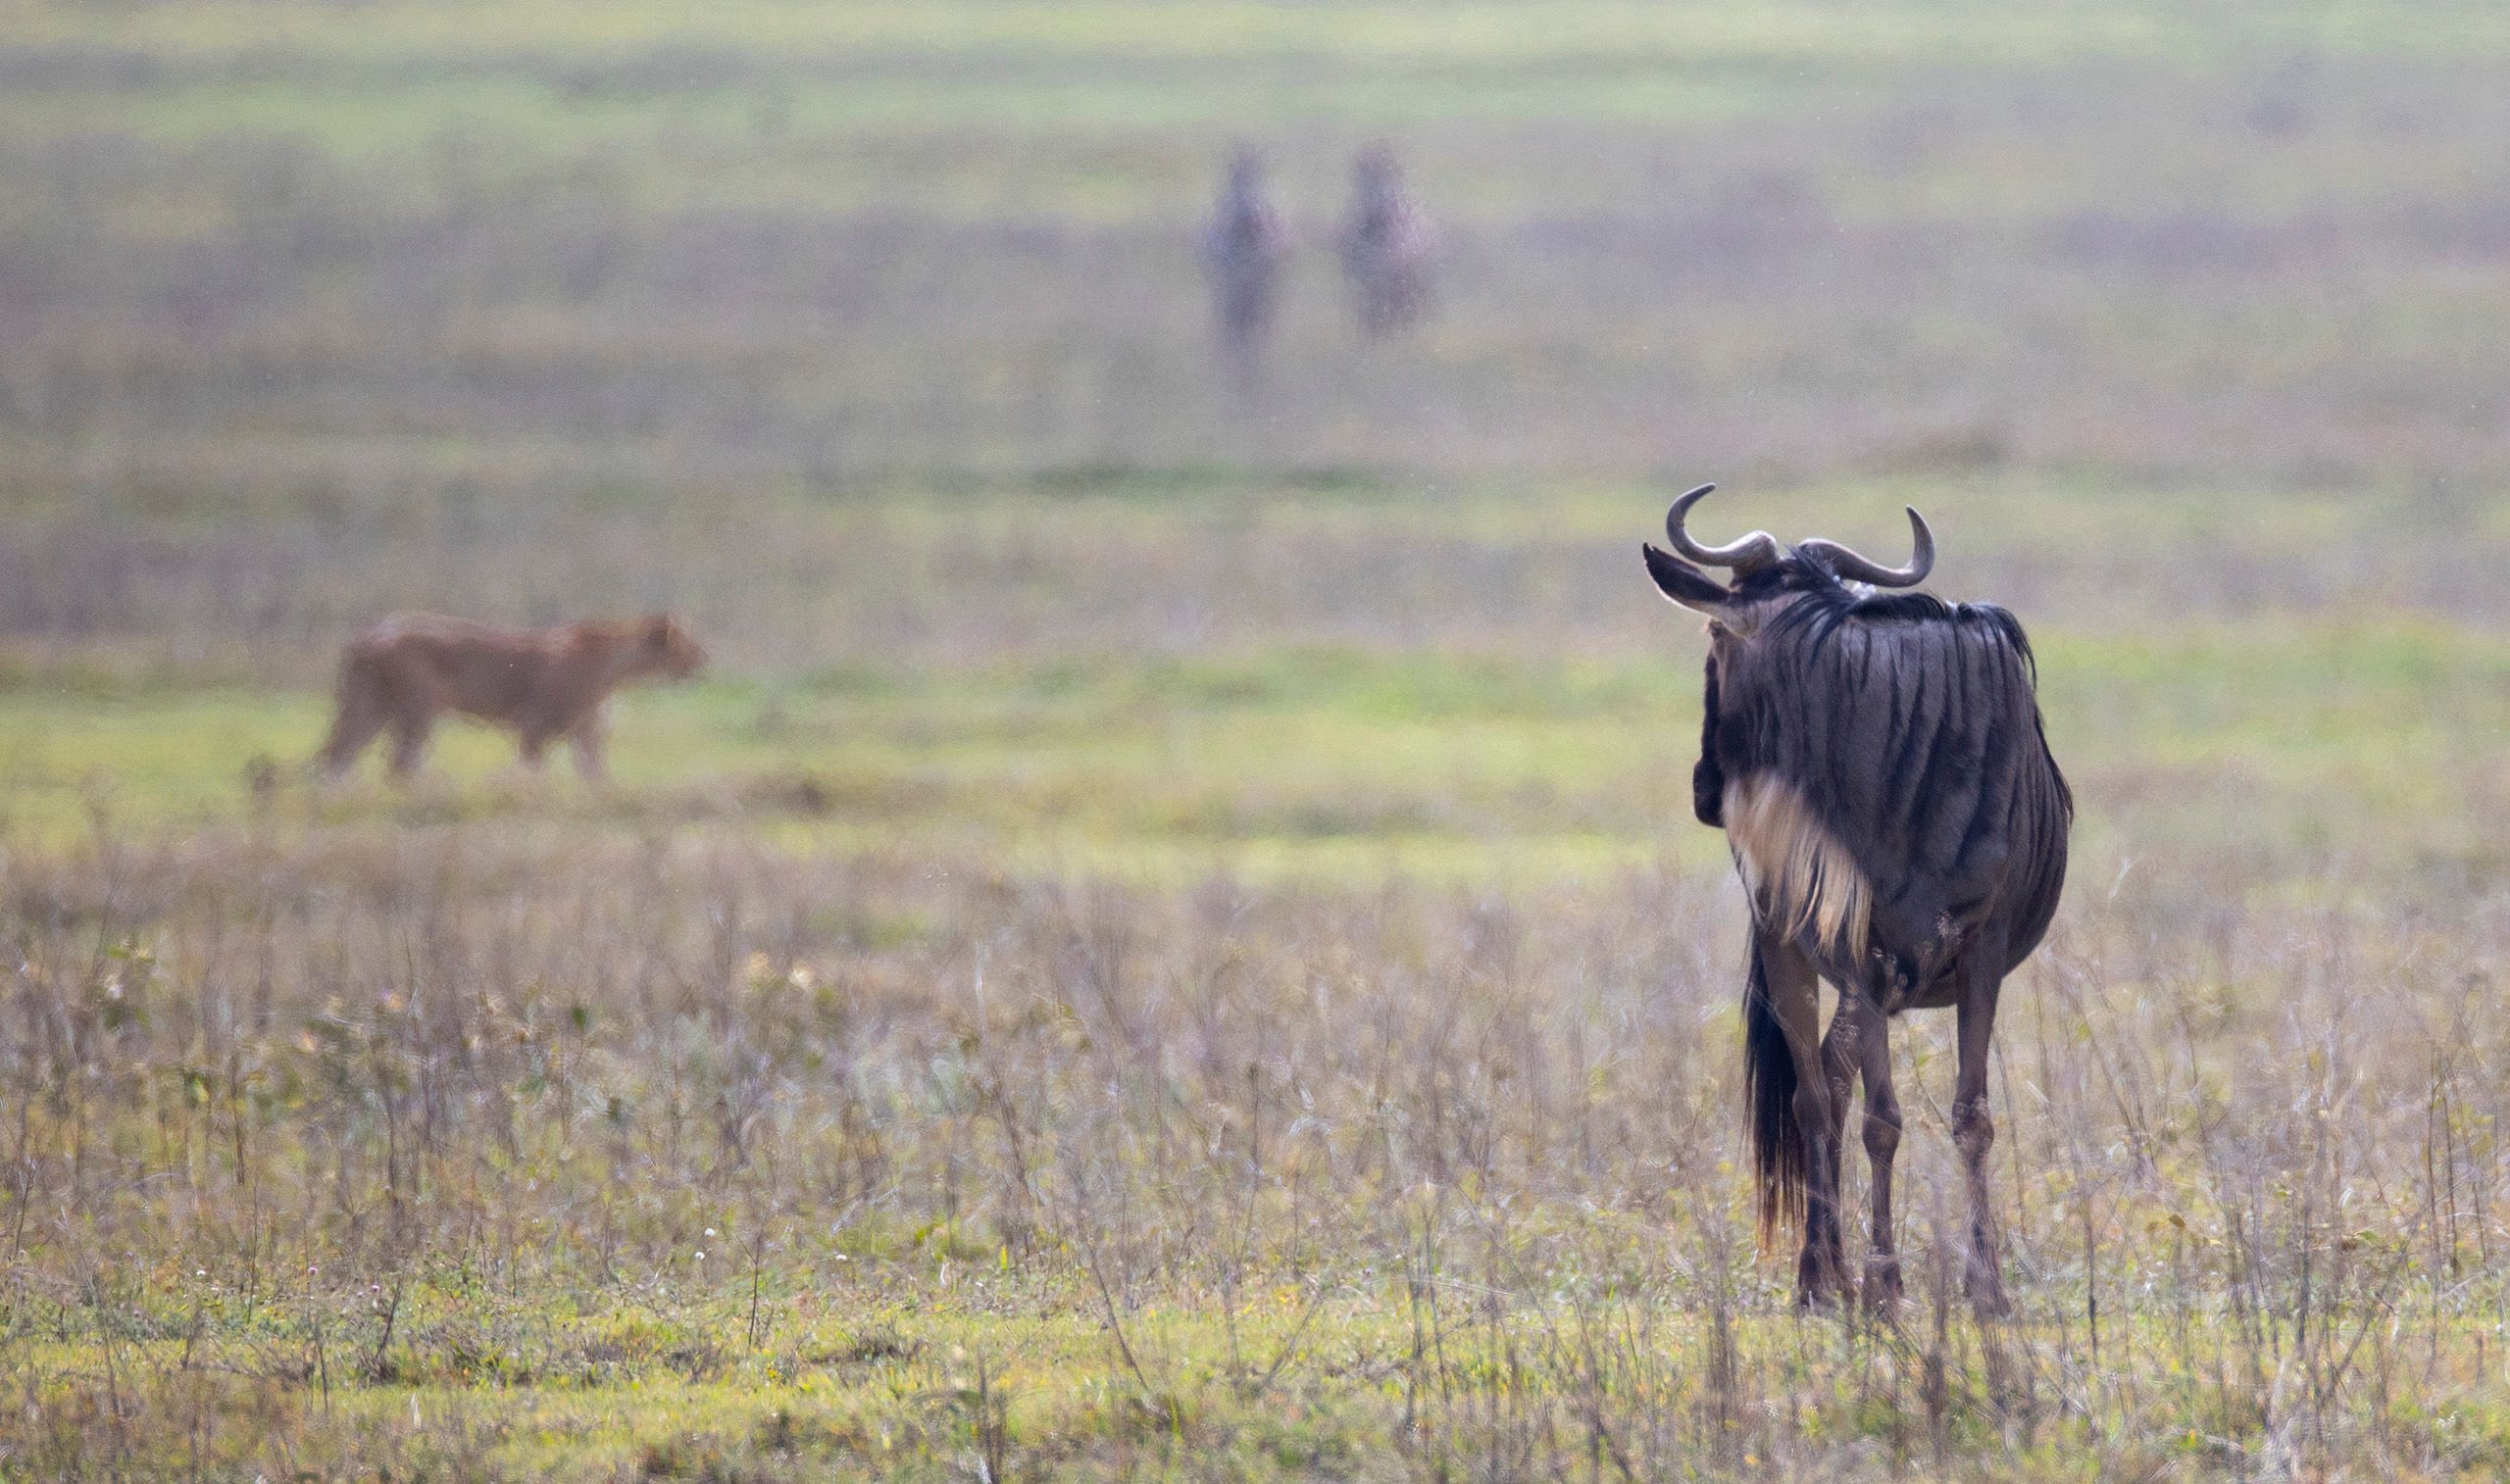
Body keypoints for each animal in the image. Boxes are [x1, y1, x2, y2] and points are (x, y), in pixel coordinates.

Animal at [319, 612, 705, 781]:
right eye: (687, 645)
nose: (703, 661)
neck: (615, 674)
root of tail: (367, 635)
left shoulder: (587, 733)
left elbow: (596, 775)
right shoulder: (534, 724)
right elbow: (532, 770)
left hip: (370, 705)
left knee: (339, 756)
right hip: (420, 705)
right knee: (400, 763)